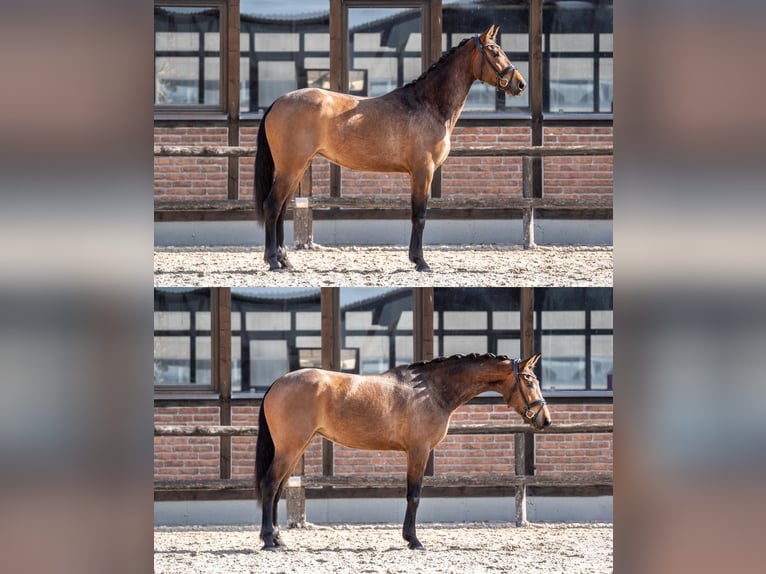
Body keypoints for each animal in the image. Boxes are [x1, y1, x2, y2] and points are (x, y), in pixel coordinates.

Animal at [256, 24, 528, 272]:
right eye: (495, 52)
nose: (520, 84)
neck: (428, 105)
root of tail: (278, 101)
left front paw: (415, 259)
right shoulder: (423, 171)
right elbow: (419, 215)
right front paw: (420, 262)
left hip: (297, 169)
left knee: (282, 209)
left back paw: (285, 260)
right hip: (291, 168)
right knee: (272, 206)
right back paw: (273, 261)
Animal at [256, 354, 552, 552]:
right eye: (529, 380)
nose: (545, 420)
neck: (431, 390)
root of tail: (277, 383)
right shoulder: (419, 451)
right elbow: (414, 495)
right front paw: (413, 539)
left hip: (296, 449)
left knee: (279, 490)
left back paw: (279, 538)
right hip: (290, 448)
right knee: (270, 485)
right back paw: (269, 539)